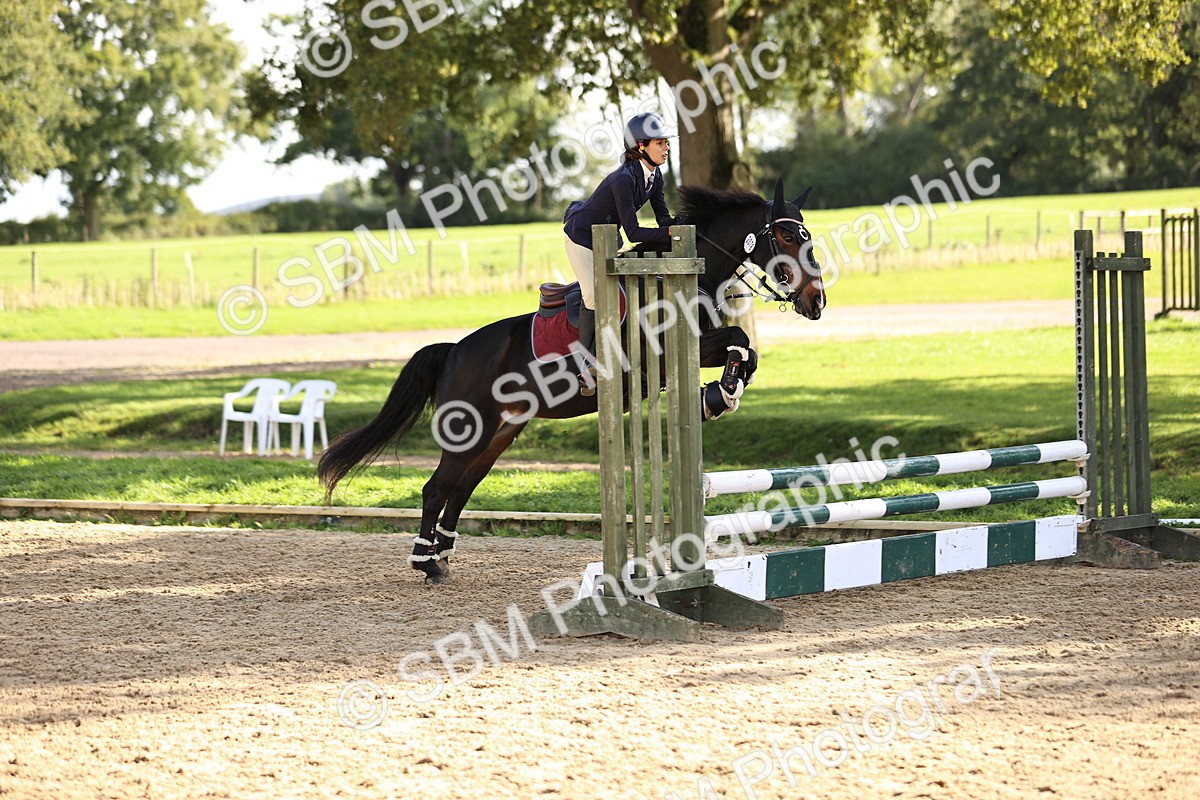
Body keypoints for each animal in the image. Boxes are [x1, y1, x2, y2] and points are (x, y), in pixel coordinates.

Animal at [317, 177, 825, 583]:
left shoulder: (698, 347)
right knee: (437, 488)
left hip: (502, 431)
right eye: (784, 234)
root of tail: (454, 350)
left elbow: (745, 347)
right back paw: (426, 564)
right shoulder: (669, 354)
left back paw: (442, 555)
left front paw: (720, 394)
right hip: (470, 429)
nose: (817, 301)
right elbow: (739, 340)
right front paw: (720, 395)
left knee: (461, 487)